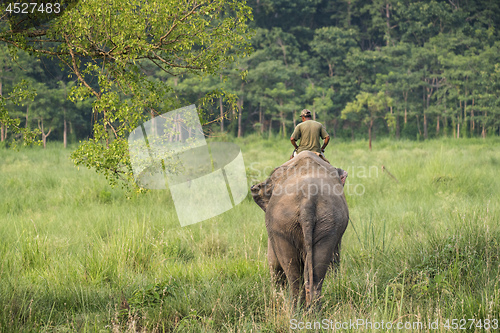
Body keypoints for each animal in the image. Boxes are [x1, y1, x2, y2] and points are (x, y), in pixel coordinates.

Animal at [250, 150, 348, 306]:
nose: (253, 186)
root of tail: (307, 200)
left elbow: (273, 261)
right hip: (326, 222)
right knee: (315, 272)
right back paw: (311, 310)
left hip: (284, 224)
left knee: (293, 273)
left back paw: (297, 309)